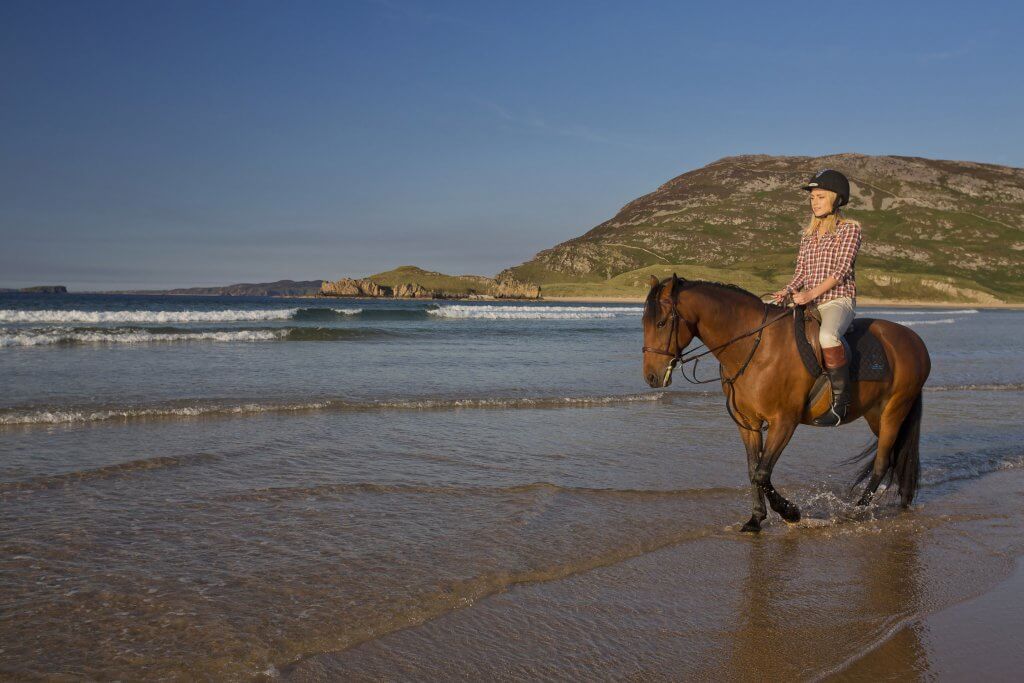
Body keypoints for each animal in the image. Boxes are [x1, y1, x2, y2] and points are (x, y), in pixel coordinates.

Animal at [643, 274, 933, 532]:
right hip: (875, 414)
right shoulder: (748, 424)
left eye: (661, 323)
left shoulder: (784, 422)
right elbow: (753, 470)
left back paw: (857, 511)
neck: (757, 348)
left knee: (882, 462)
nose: (651, 377)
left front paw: (790, 512)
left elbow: (762, 473)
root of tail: (914, 341)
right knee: (895, 456)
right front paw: (756, 519)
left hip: (894, 410)